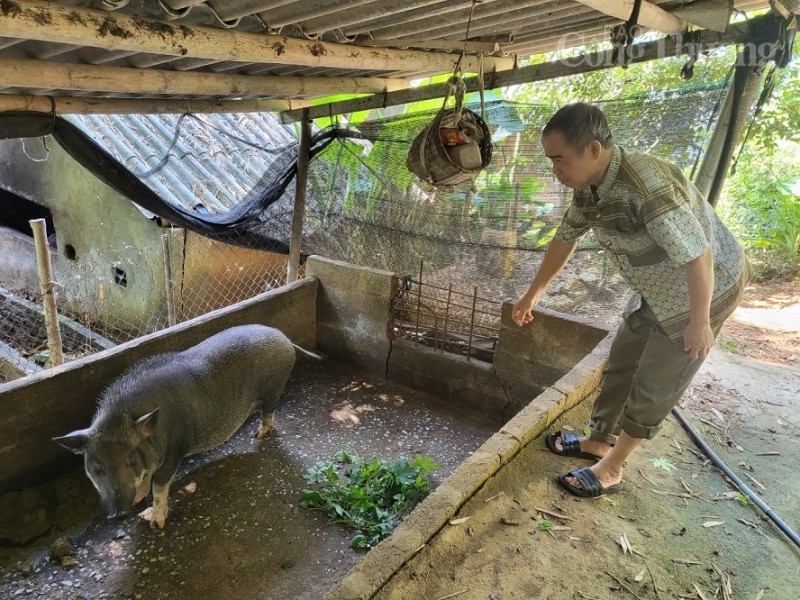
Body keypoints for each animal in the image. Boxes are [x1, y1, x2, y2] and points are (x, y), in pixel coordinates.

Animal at [53, 326, 314, 528]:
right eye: (97, 466)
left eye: (130, 459)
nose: (118, 514)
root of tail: (285, 338)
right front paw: (140, 503)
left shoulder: (175, 449)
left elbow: (159, 486)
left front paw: (155, 524)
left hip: (274, 388)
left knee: (270, 413)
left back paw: (259, 435)